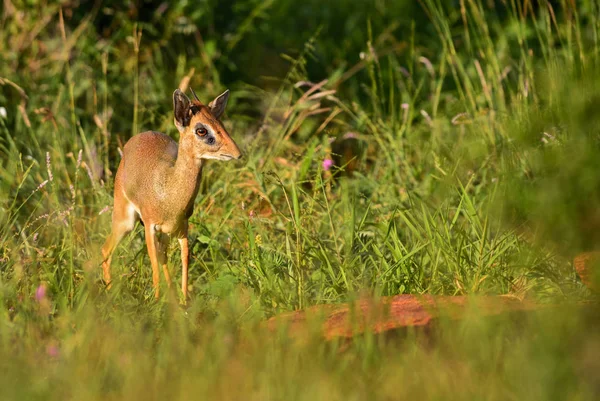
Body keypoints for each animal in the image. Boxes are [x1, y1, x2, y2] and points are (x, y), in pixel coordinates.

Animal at [101, 88, 241, 300]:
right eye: (201, 130)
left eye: (220, 124)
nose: (237, 152)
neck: (168, 191)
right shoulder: (150, 226)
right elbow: (154, 265)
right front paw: (156, 301)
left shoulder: (181, 227)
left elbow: (184, 258)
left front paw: (184, 300)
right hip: (125, 220)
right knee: (106, 249)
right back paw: (109, 293)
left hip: (164, 231)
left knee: (163, 255)